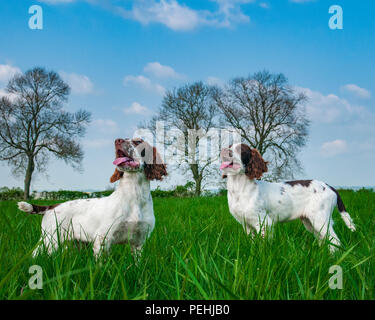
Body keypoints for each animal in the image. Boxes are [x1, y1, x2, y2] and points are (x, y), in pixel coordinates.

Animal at [17, 138, 167, 258]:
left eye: (138, 142)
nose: (118, 140)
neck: (135, 194)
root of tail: (51, 206)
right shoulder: (103, 238)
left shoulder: (138, 242)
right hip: (50, 240)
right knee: (34, 255)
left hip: (74, 242)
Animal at [220, 143, 356, 252]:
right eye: (230, 145)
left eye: (241, 149)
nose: (224, 150)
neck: (240, 188)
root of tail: (329, 186)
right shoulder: (246, 224)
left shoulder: (264, 222)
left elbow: (263, 245)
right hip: (310, 222)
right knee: (324, 240)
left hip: (320, 219)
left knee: (335, 241)